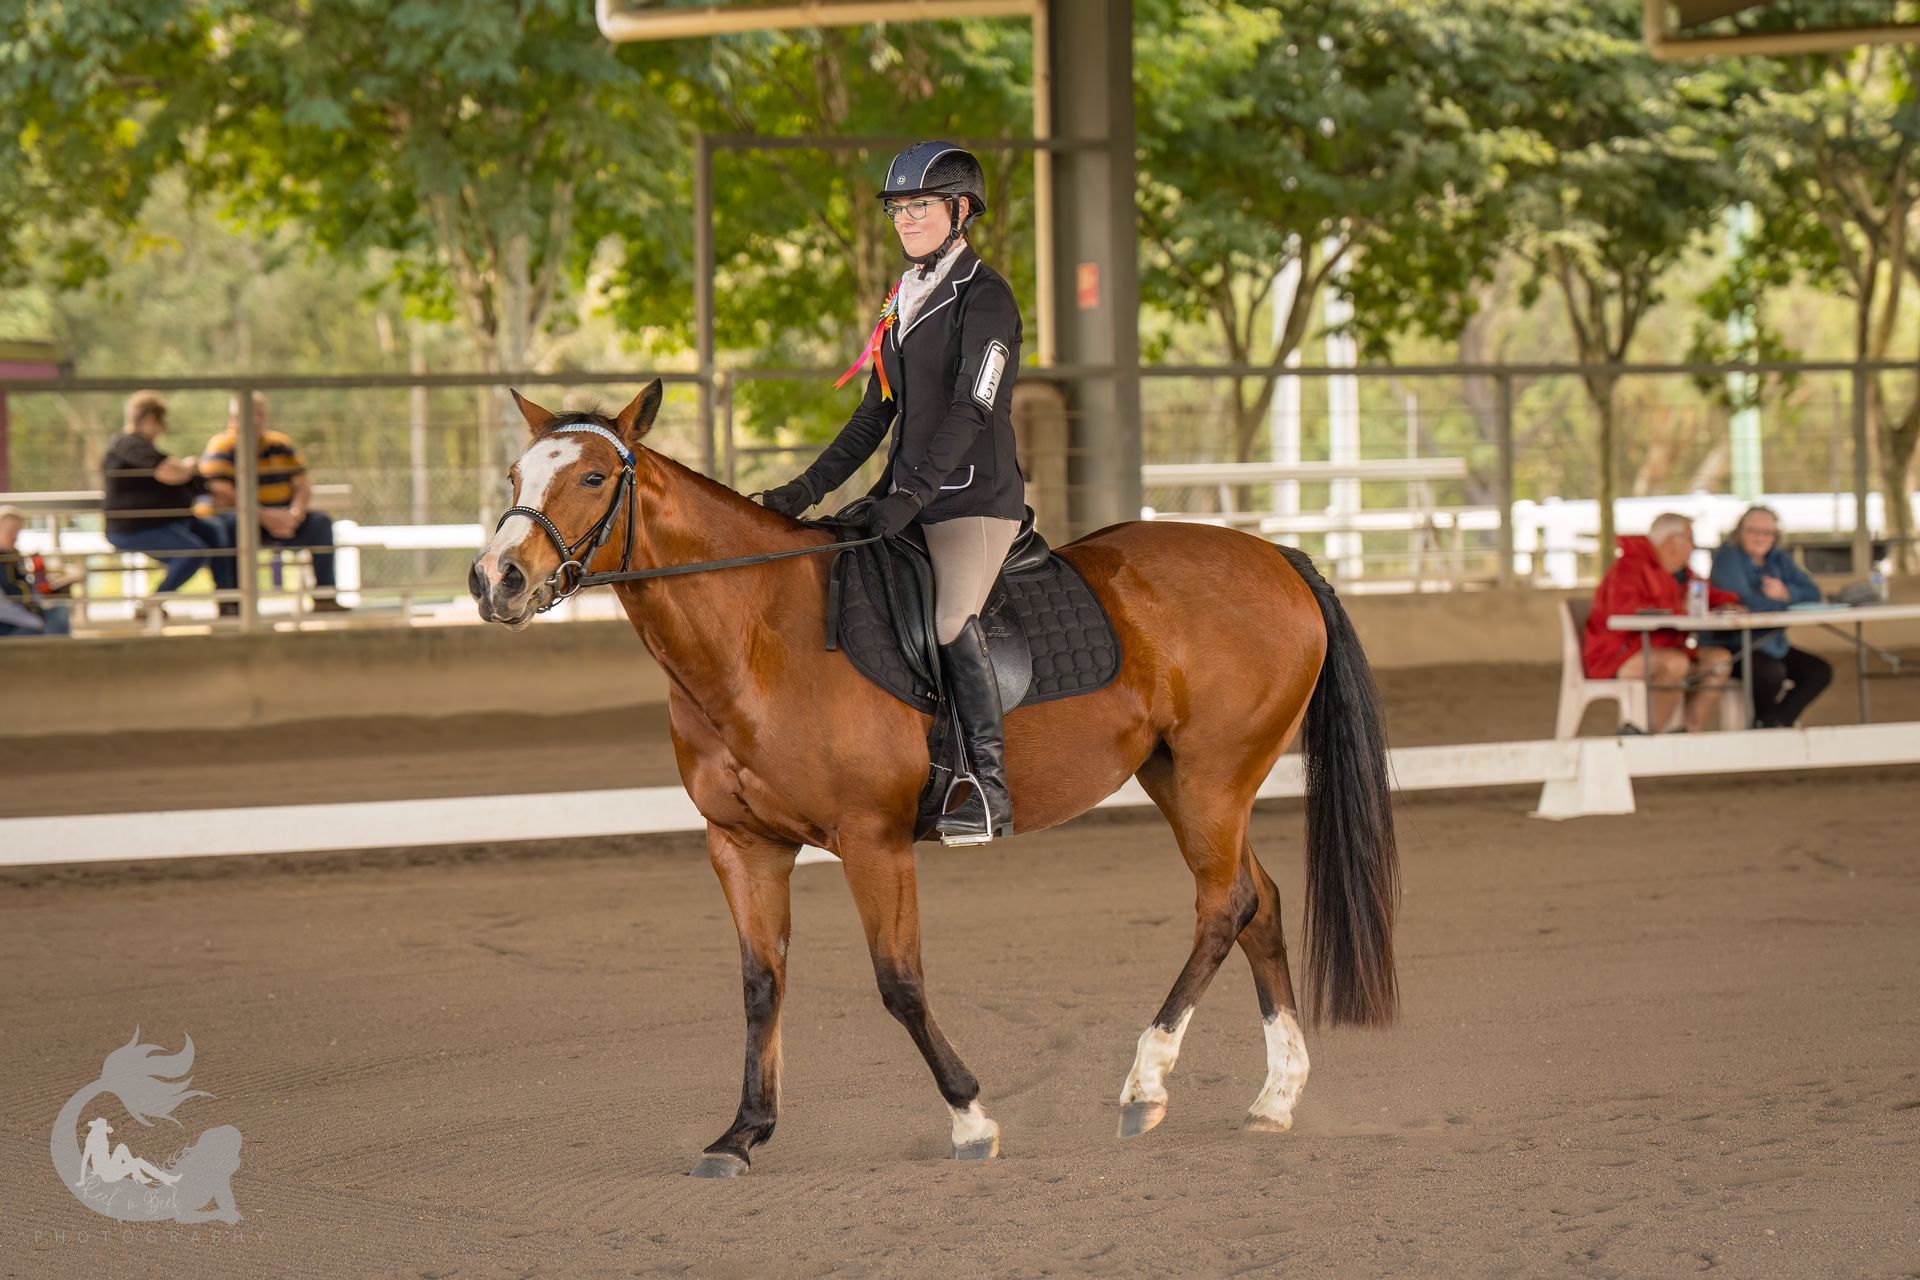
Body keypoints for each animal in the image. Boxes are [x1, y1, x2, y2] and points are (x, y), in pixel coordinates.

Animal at [469, 381, 1398, 1177]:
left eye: (593, 476)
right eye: (516, 475)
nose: (496, 581)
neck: (756, 635)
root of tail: (1274, 556)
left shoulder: (871, 841)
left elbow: (900, 984)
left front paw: (971, 1118)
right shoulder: (741, 843)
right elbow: (761, 986)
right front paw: (741, 1134)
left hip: (1214, 777)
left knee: (1223, 906)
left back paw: (1146, 1085)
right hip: (1179, 778)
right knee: (1259, 902)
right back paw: (1274, 1099)